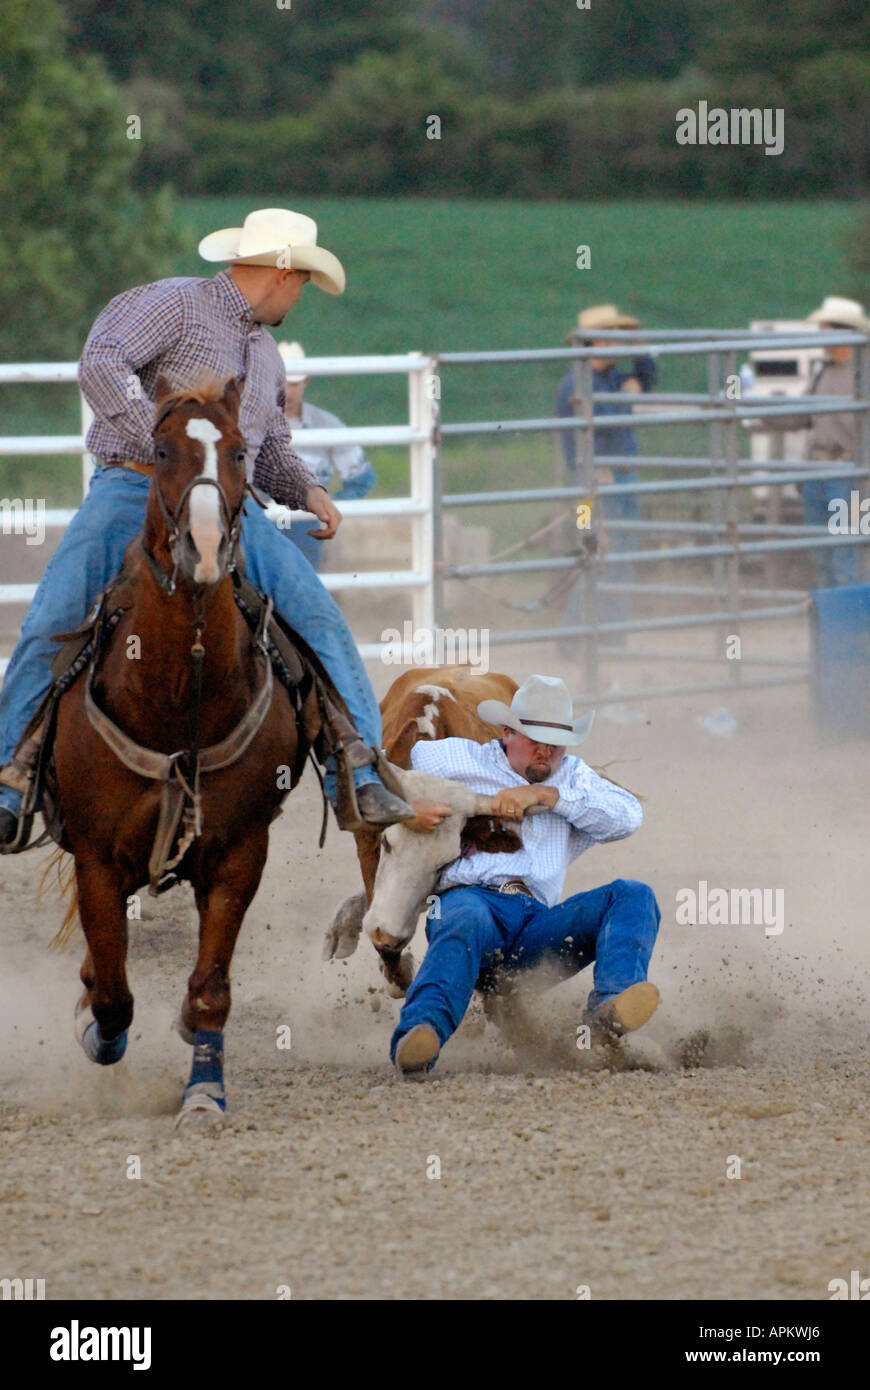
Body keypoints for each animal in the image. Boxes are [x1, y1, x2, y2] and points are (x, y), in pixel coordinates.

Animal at [54, 378, 312, 1128]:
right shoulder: (95, 858)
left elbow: (209, 986)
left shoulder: (238, 853)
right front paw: (97, 1031)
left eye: (240, 451)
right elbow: (113, 995)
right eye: (162, 450)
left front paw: (204, 1091)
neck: (174, 695)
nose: (202, 546)